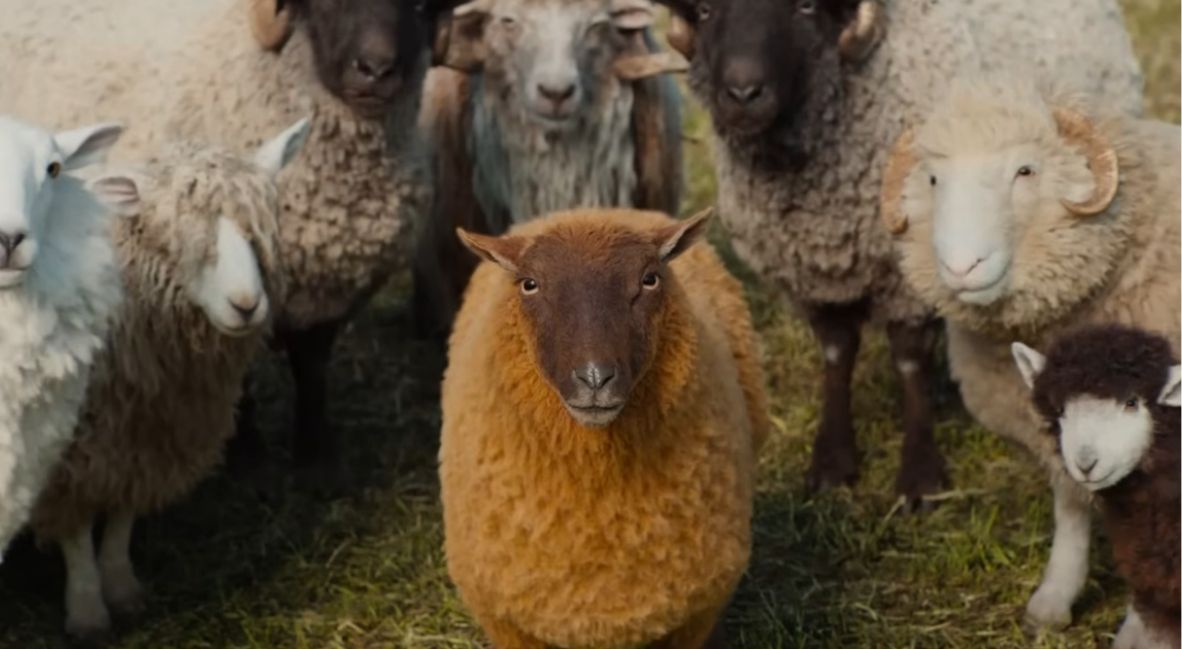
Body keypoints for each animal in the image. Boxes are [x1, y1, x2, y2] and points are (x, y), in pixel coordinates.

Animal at [0, 0, 460, 479]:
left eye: (422, 8)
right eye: (328, 5)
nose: (376, 70)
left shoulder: (328, 296)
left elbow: (312, 369)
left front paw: (315, 453)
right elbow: (243, 378)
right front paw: (245, 450)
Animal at [25, 119, 311, 640]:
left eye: (260, 232)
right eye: (173, 234)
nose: (246, 304)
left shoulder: (149, 437)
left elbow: (122, 517)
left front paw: (122, 588)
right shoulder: (67, 452)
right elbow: (76, 530)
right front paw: (87, 611)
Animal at [440, 207, 769, 649]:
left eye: (650, 279)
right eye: (529, 284)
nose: (595, 377)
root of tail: (589, 209)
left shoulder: (695, 616)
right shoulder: (508, 623)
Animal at [646, 0, 1144, 513]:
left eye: (805, 8)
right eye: (706, 11)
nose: (743, 93)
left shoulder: (908, 276)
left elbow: (908, 361)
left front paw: (920, 476)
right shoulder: (813, 277)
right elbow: (836, 353)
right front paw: (832, 462)